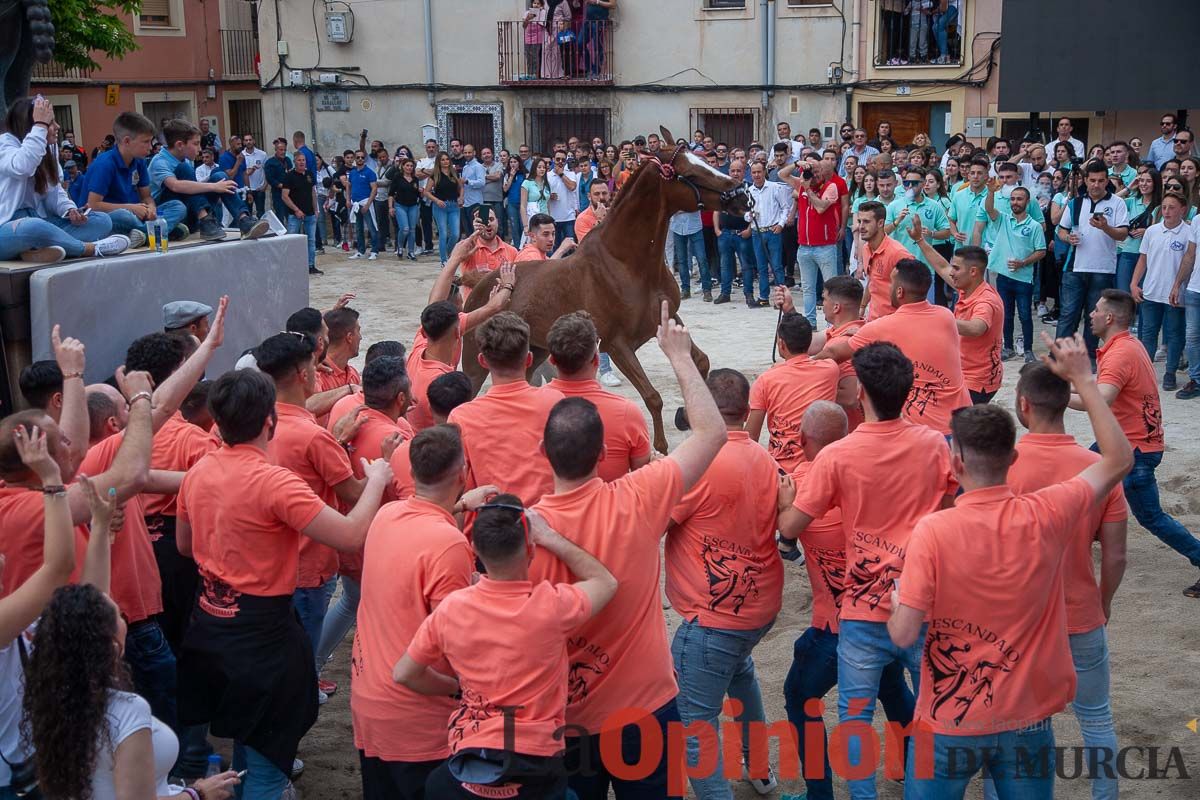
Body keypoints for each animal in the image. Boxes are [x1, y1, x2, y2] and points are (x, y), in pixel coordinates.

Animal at [463, 124, 753, 450]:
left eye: (705, 159)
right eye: (690, 172)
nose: (743, 197)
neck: (629, 264)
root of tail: (481, 285)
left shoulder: (666, 318)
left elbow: (701, 362)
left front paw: (689, 415)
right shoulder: (616, 344)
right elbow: (652, 397)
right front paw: (660, 446)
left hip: (534, 351)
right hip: (474, 362)